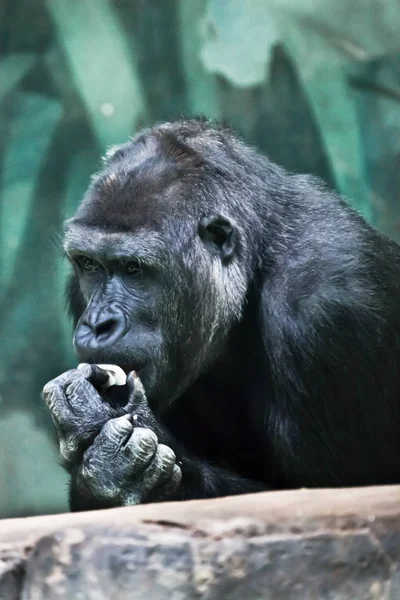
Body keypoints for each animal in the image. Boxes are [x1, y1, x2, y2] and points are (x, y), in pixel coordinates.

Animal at [43, 118, 400, 510]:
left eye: (133, 268)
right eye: (90, 264)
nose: (98, 324)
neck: (256, 262)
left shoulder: (333, 310)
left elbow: (341, 495)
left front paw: (122, 461)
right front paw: (107, 468)